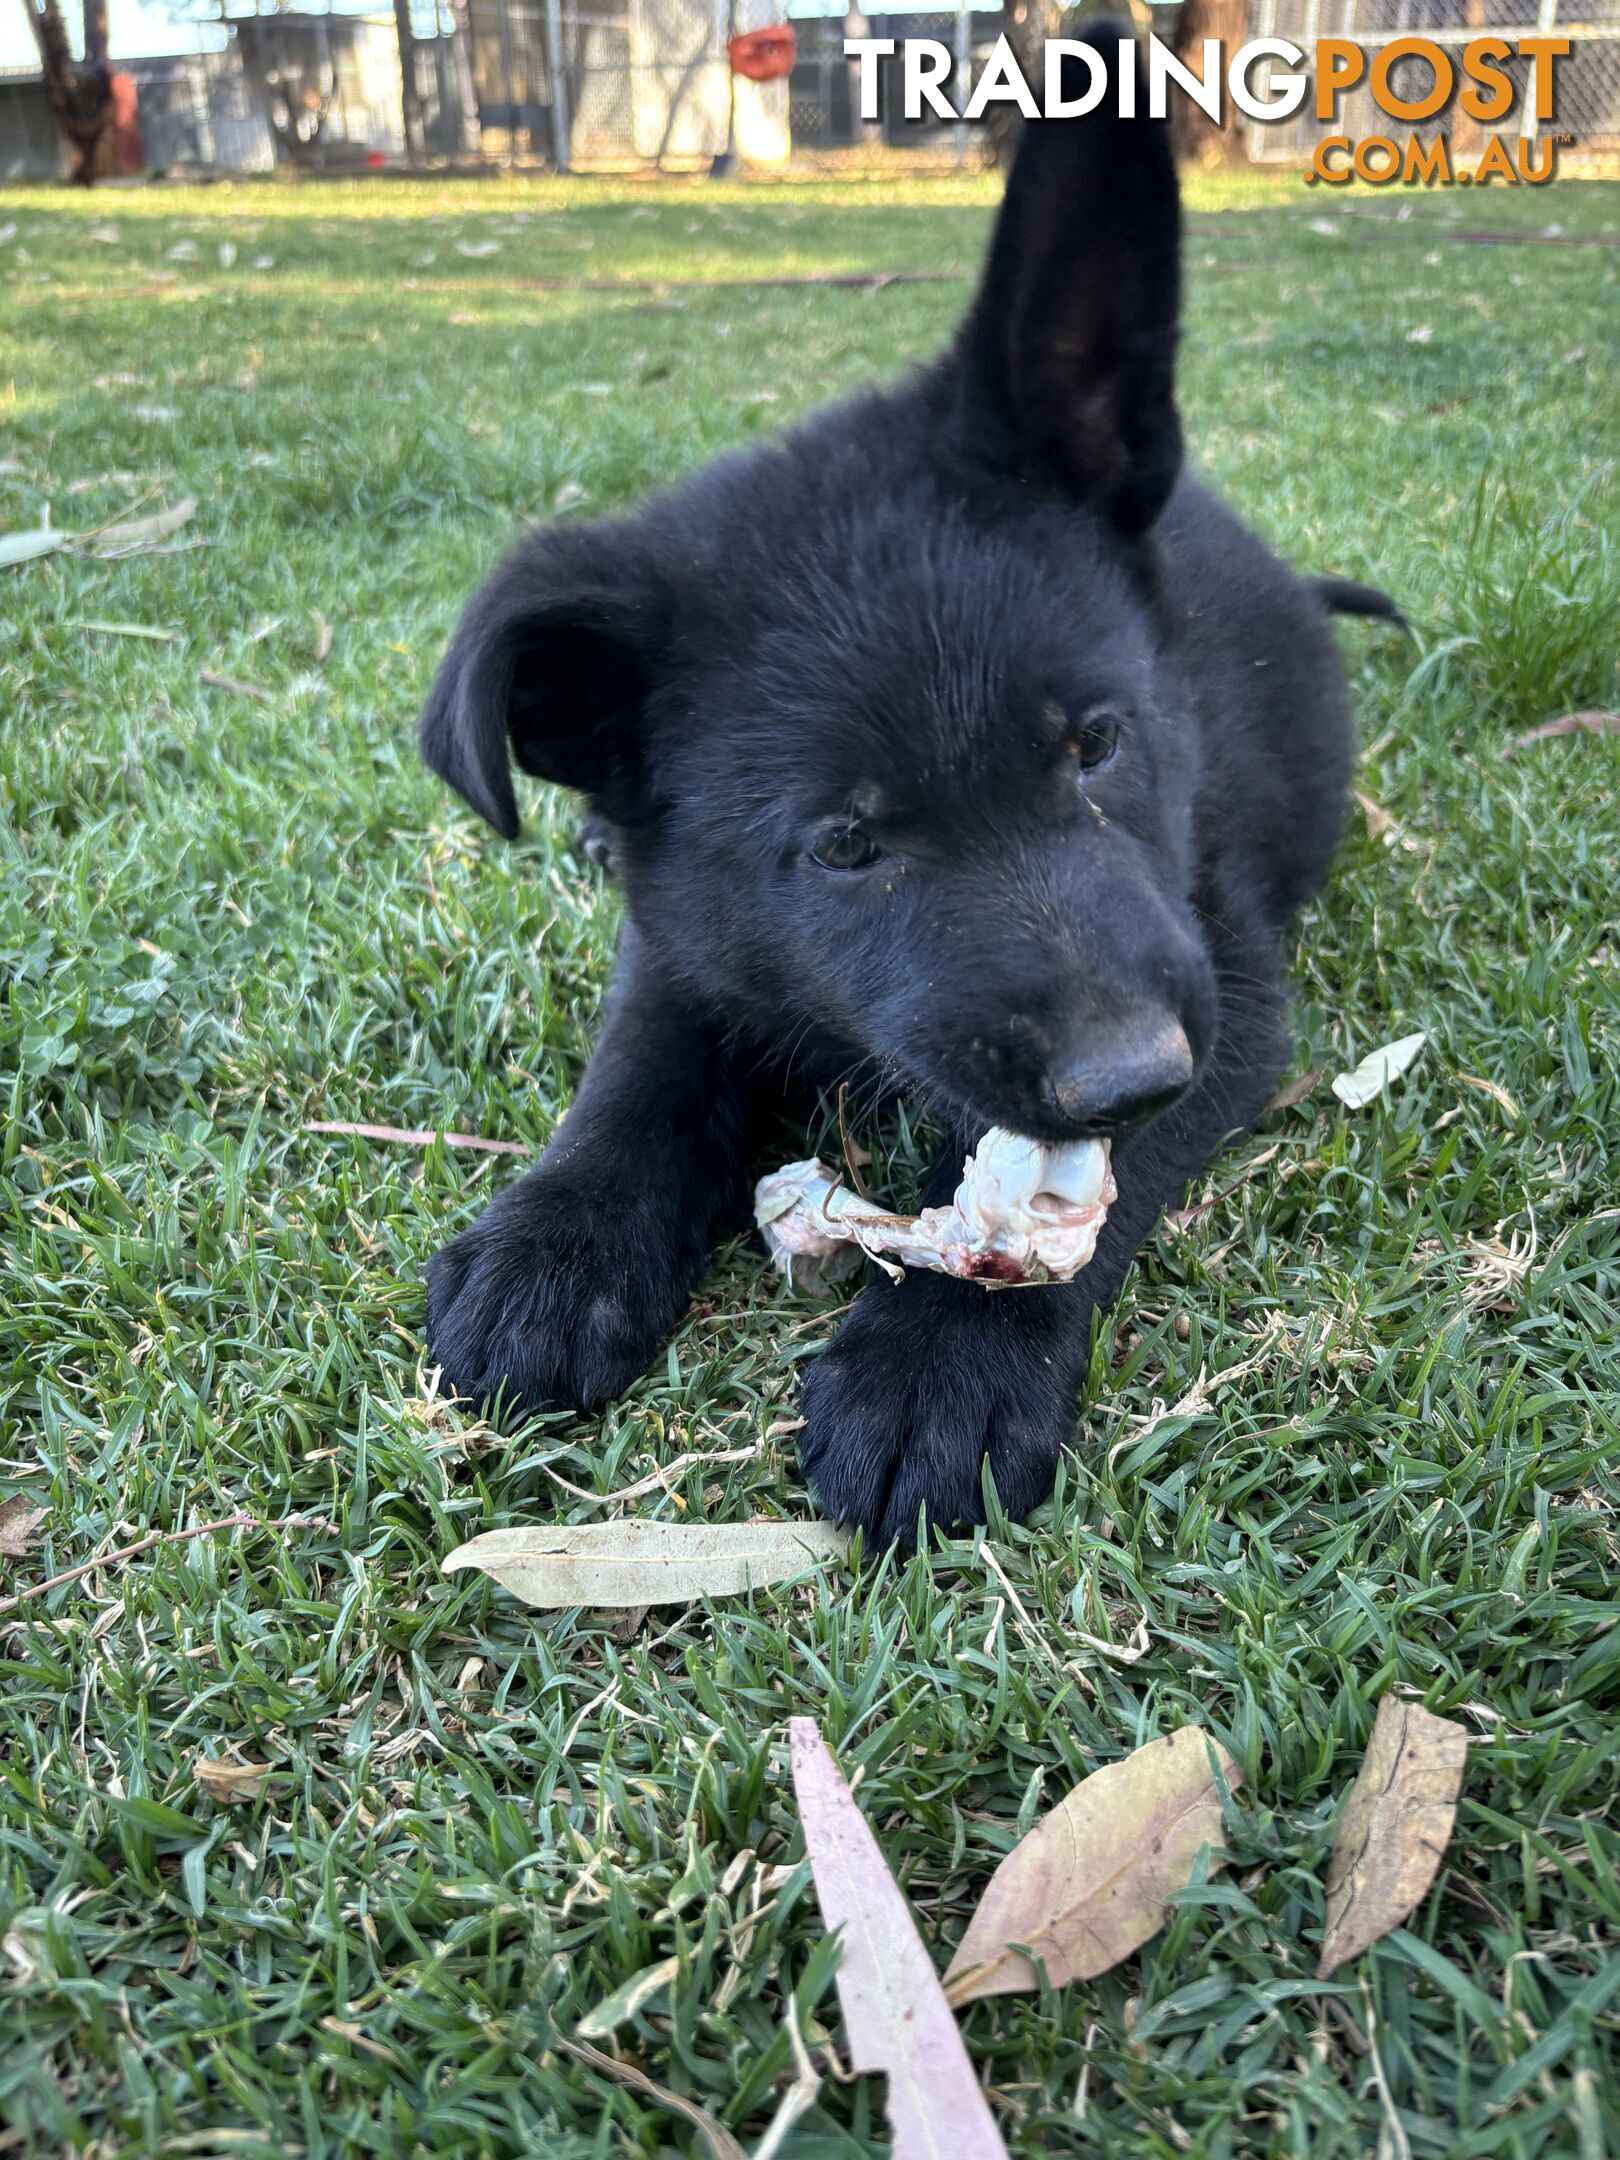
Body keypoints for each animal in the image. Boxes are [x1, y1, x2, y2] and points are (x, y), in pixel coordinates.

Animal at [412, 16, 1391, 1537]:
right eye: (844, 848)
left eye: (1097, 744)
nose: (1129, 1074)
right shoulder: (682, 935)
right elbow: (637, 1068)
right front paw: (554, 1244)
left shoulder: (1226, 980)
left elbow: (1079, 1194)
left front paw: (944, 1356)